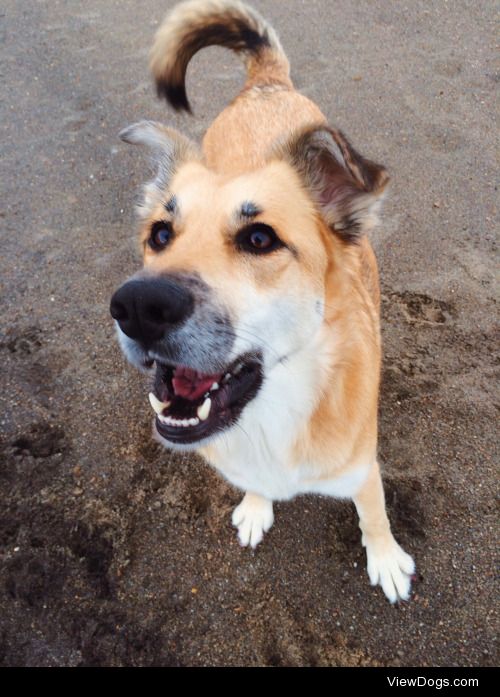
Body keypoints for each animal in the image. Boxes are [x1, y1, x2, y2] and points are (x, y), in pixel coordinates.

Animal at [109, 0, 414, 604]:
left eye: (259, 238)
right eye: (160, 234)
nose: (136, 307)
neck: (277, 409)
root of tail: (266, 85)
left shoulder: (363, 468)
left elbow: (374, 515)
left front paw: (387, 560)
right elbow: (254, 487)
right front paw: (256, 507)